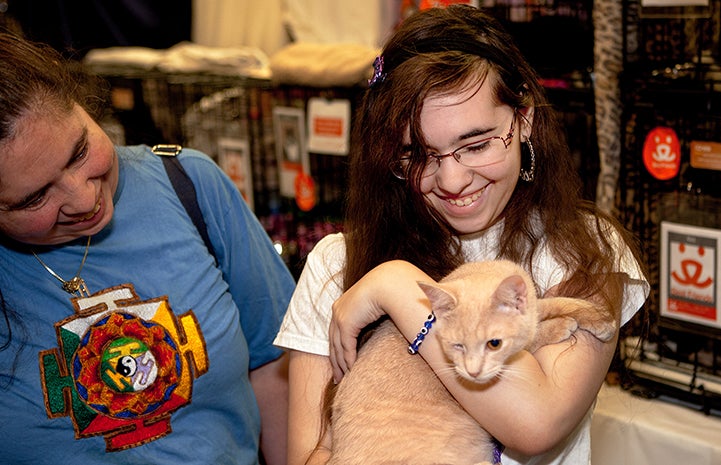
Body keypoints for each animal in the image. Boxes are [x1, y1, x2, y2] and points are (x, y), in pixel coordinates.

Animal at [324, 258, 616, 464]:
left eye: (493, 343)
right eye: (457, 346)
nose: (472, 372)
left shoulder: (536, 308)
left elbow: (559, 302)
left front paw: (601, 320)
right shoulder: (522, 349)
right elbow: (539, 332)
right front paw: (565, 325)